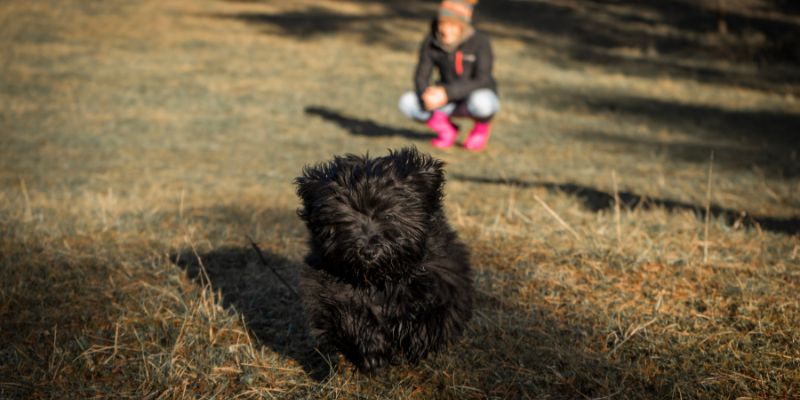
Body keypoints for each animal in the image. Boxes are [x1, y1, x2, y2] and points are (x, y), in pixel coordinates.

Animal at [296, 148, 472, 374]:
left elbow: (436, 311)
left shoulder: (446, 275)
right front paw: (373, 352)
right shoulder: (329, 289)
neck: (382, 278)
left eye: (389, 214)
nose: (368, 250)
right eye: (346, 218)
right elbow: (351, 316)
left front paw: (419, 338)